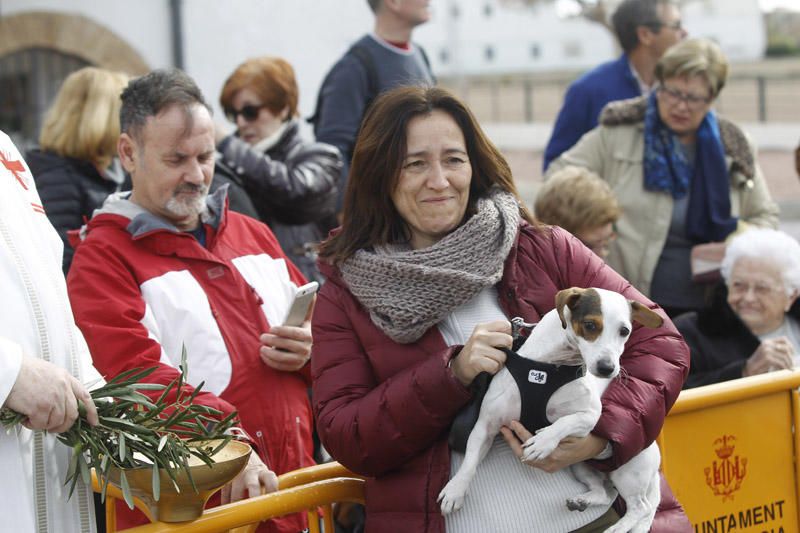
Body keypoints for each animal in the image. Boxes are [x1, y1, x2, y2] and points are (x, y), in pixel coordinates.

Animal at [438, 286, 664, 532]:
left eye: (624, 331)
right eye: (590, 325)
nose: (607, 368)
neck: (549, 367)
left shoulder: (590, 416)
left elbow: (566, 421)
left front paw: (543, 442)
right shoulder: (485, 426)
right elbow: (469, 462)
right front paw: (456, 489)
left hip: (626, 472)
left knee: (641, 507)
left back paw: (618, 528)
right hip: (582, 467)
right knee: (605, 493)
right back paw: (583, 500)